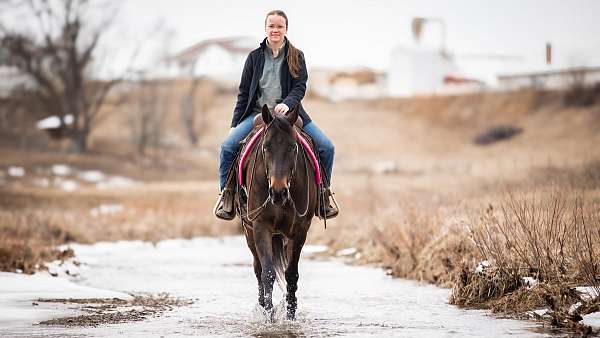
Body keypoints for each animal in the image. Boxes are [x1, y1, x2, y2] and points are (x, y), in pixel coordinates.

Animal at [238, 104, 318, 320]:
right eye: (266, 147)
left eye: (293, 147)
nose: (278, 192)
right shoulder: (260, 226)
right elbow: (268, 273)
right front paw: (269, 315)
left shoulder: (300, 229)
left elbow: (291, 274)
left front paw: (290, 314)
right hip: (249, 232)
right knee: (258, 269)